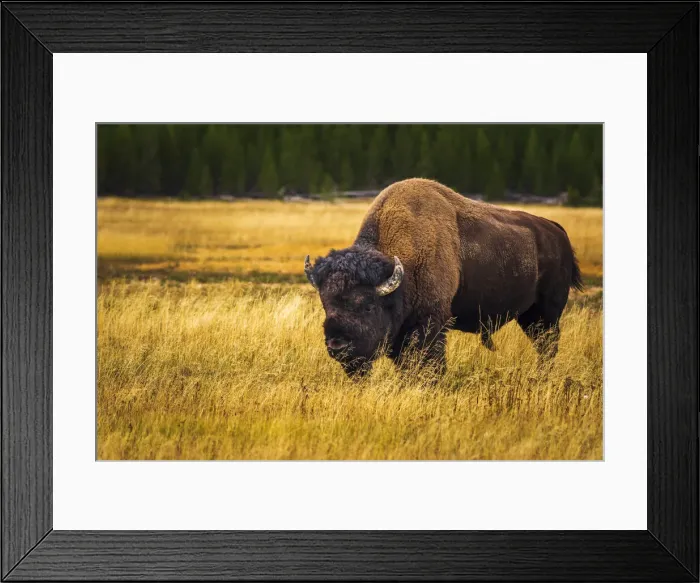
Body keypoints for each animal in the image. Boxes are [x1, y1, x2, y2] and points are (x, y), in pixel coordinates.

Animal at [305, 178, 583, 377]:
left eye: (368, 306)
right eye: (326, 305)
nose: (337, 345)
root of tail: (557, 231)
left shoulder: (431, 323)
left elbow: (429, 362)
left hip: (546, 313)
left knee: (548, 345)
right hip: (528, 316)